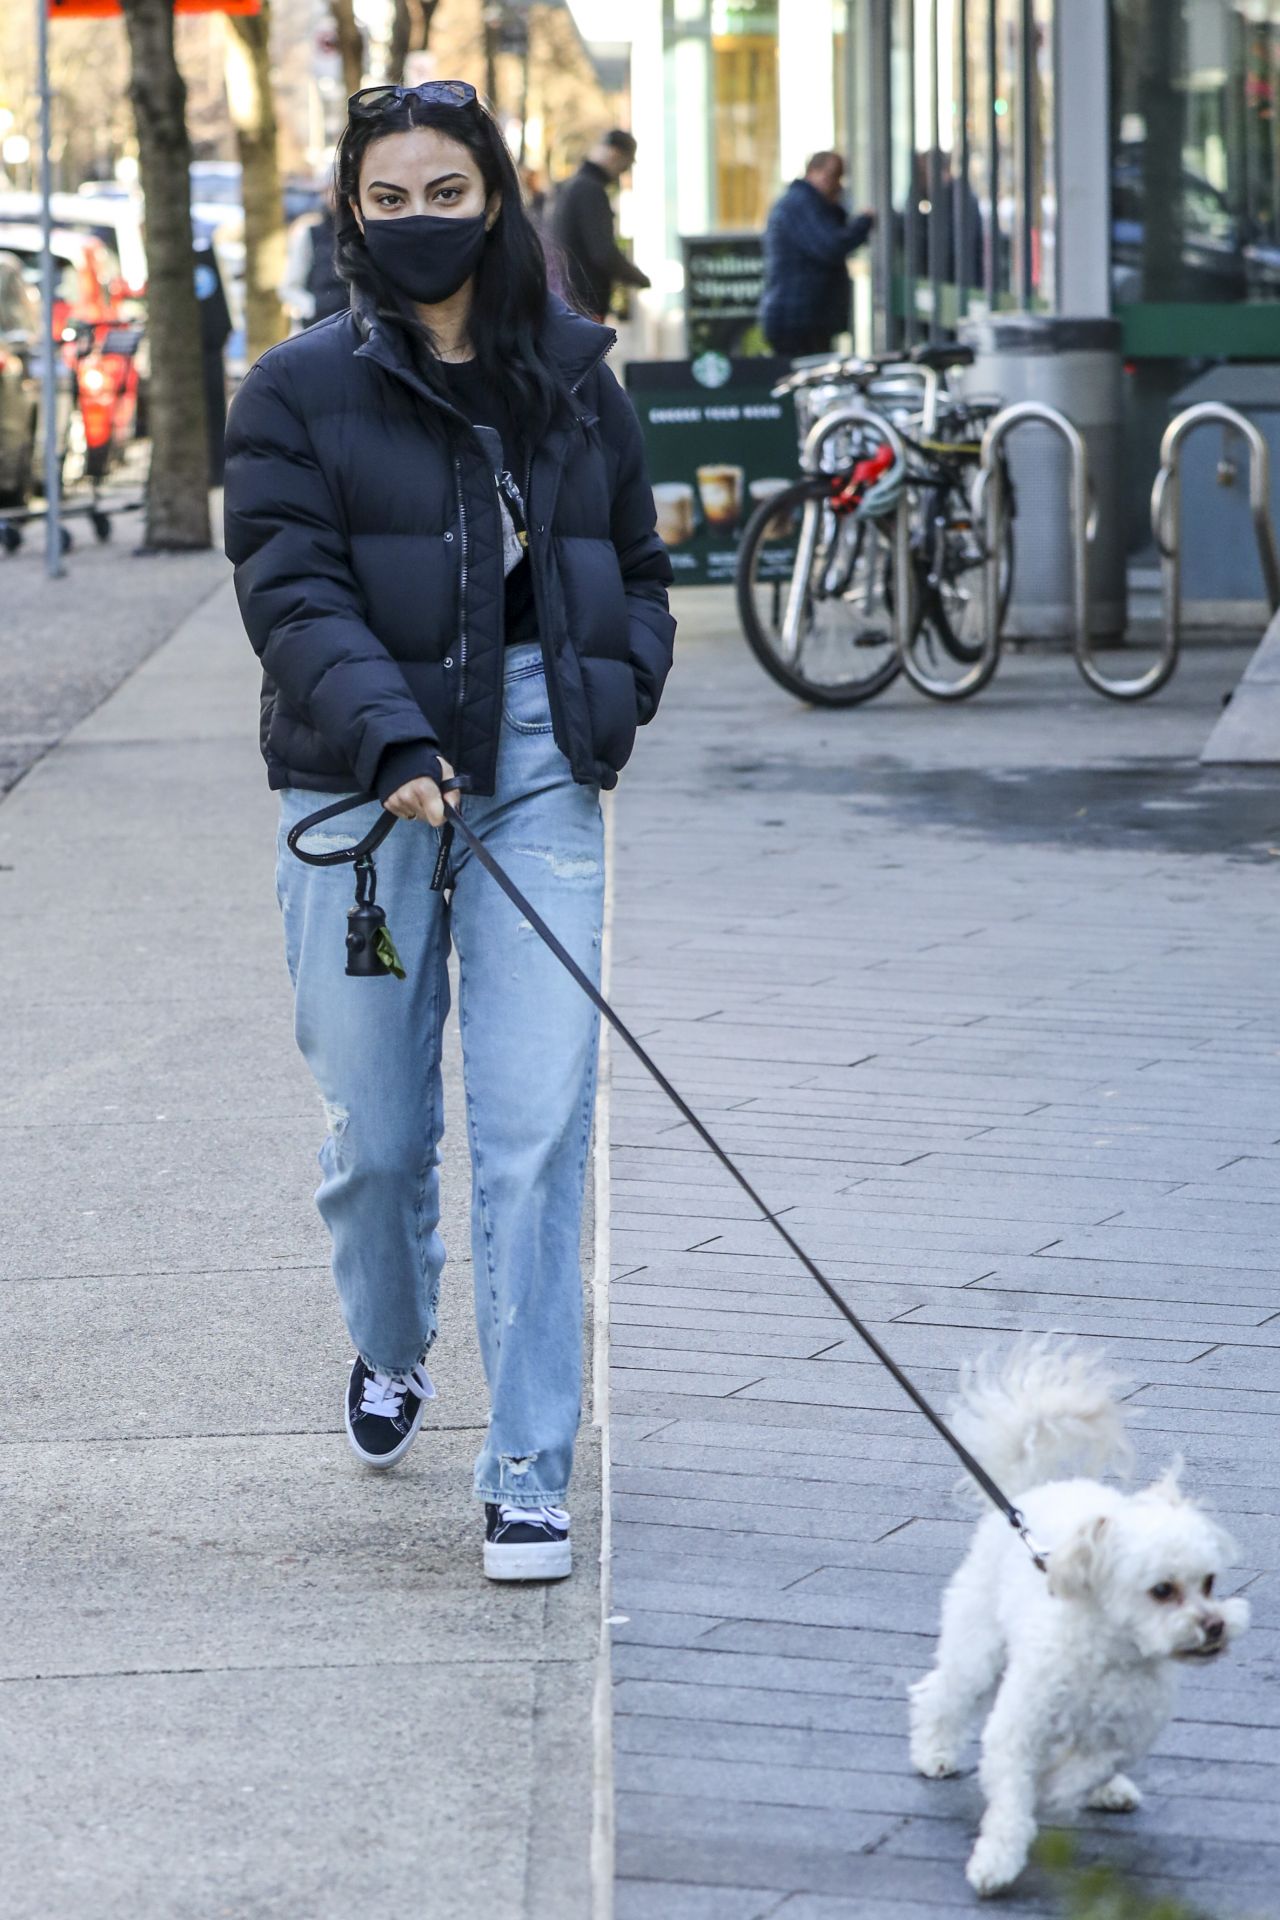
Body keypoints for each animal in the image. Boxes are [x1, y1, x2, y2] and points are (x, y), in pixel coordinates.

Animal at [909, 1344, 1251, 1896]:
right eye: (1162, 1590)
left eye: (1209, 1583)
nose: (1215, 1627)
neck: (1111, 1656)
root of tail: (1024, 1501)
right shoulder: (1017, 1729)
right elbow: (1012, 1802)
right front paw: (996, 1862)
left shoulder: (1126, 1735)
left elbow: (1085, 1768)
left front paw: (1061, 1787)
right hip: (978, 1645)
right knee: (941, 1693)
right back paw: (934, 1751)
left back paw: (1107, 1791)